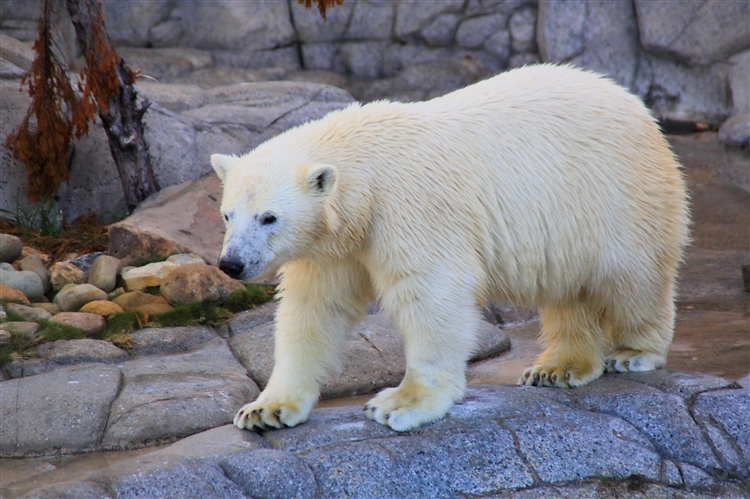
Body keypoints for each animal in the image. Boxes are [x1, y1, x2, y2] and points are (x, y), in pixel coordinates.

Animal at [214, 64, 692, 434]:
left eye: (269, 217)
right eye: (227, 214)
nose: (231, 263)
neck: (364, 170)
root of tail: (634, 104)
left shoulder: (412, 205)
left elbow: (432, 293)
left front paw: (400, 404)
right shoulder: (334, 244)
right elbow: (314, 308)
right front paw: (265, 409)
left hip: (616, 196)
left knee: (632, 277)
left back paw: (634, 352)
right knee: (569, 290)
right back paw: (557, 367)